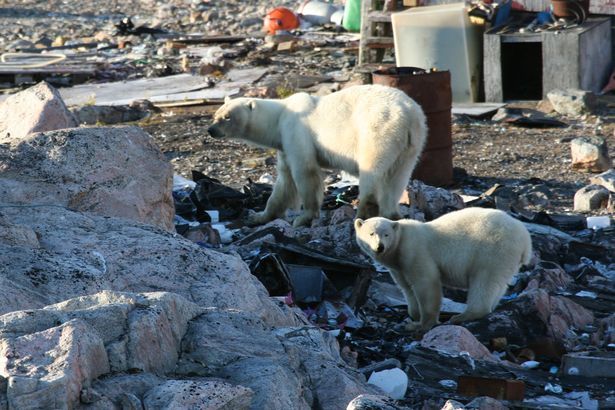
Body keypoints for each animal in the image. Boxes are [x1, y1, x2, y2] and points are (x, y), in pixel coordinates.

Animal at [209, 84, 426, 227]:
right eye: (216, 114)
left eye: (227, 117)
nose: (211, 130)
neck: (279, 117)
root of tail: (408, 114)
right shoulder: (284, 144)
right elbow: (284, 183)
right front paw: (258, 216)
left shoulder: (296, 131)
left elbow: (305, 172)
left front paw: (303, 218)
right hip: (411, 145)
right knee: (396, 177)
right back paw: (392, 214)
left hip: (378, 130)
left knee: (372, 169)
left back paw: (364, 214)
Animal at [356, 210, 536, 332]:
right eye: (371, 233)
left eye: (386, 234)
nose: (380, 247)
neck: (400, 244)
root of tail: (526, 240)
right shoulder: (398, 267)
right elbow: (407, 288)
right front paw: (413, 317)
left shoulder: (415, 251)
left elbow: (426, 282)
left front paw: (422, 324)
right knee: (498, 285)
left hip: (494, 249)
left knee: (484, 281)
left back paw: (463, 315)